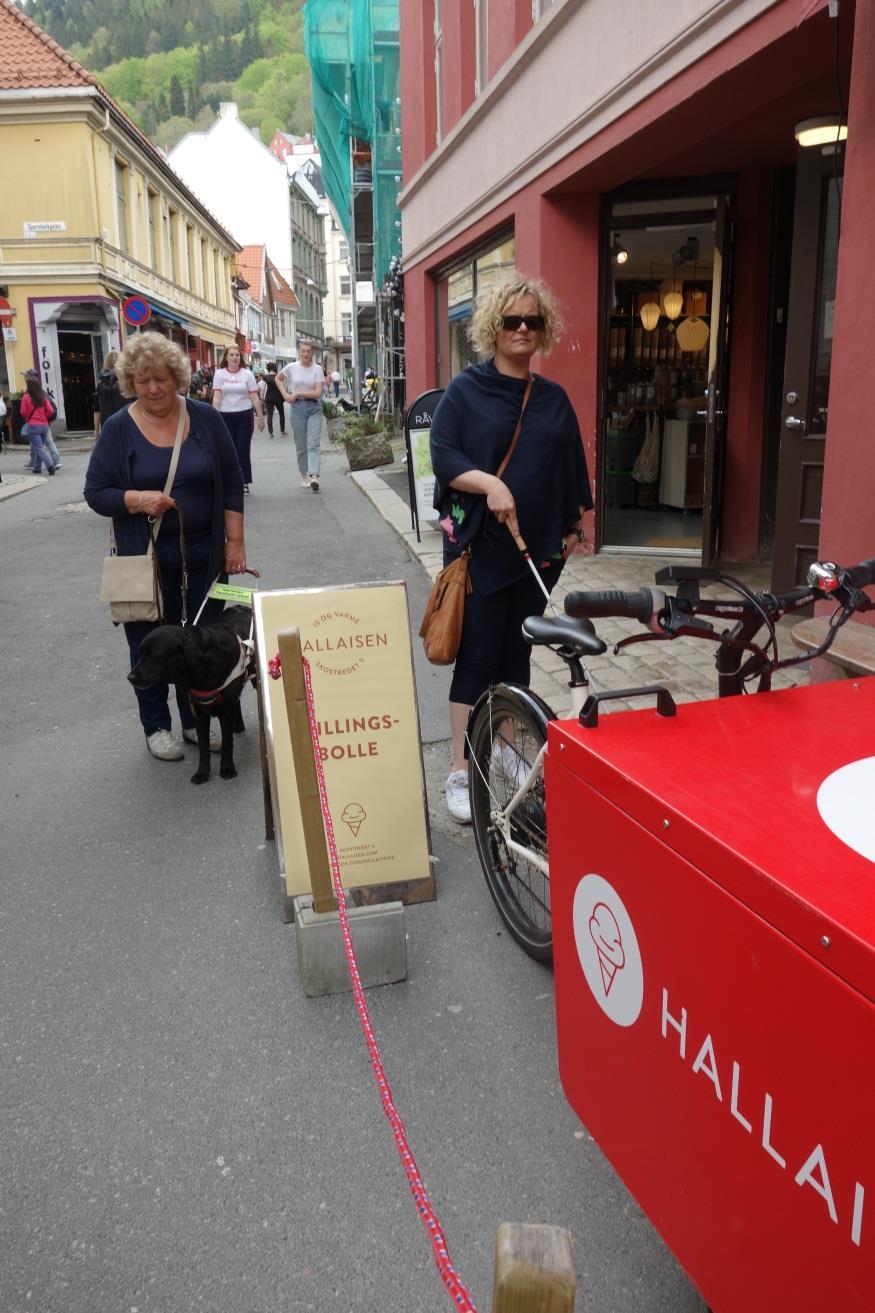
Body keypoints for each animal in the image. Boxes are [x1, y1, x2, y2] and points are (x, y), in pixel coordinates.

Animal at [128, 606, 253, 782]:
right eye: (140, 653)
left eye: (153, 656)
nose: (130, 677)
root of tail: (240, 607)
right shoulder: (198, 713)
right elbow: (203, 747)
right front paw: (202, 773)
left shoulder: (225, 711)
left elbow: (227, 743)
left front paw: (227, 768)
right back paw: (239, 725)